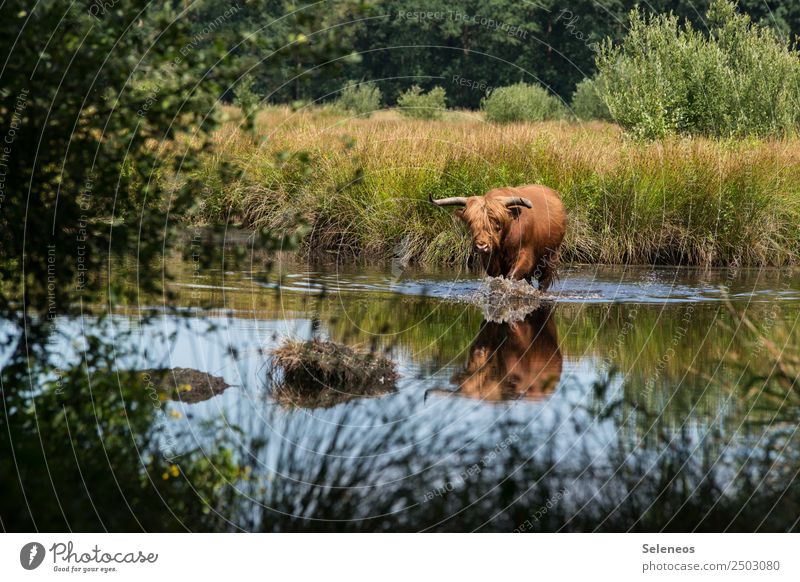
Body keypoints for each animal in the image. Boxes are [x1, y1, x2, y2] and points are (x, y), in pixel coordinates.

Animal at [428, 185, 564, 290]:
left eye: (497, 223)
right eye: (471, 223)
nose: (481, 246)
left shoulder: (526, 255)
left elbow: (512, 276)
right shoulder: (489, 260)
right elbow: (497, 278)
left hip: (551, 257)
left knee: (544, 282)